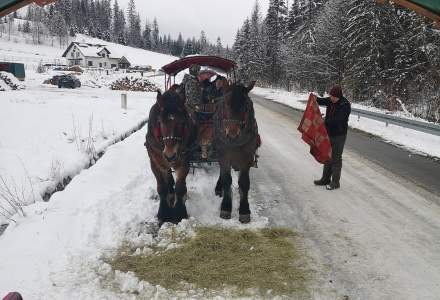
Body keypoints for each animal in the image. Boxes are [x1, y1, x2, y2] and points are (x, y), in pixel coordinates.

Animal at [145, 90, 195, 224]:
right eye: (160, 122)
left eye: (182, 122)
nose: (170, 155)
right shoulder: (155, 162)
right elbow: (162, 187)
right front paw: (163, 212)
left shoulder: (184, 162)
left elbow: (180, 187)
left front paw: (179, 212)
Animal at [212, 81, 258, 223]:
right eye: (226, 104)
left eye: (246, 106)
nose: (232, 133)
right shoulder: (224, 156)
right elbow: (227, 180)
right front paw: (226, 206)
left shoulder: (247, 158)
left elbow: (244, 183)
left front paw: (244, 210)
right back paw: (219, 187)